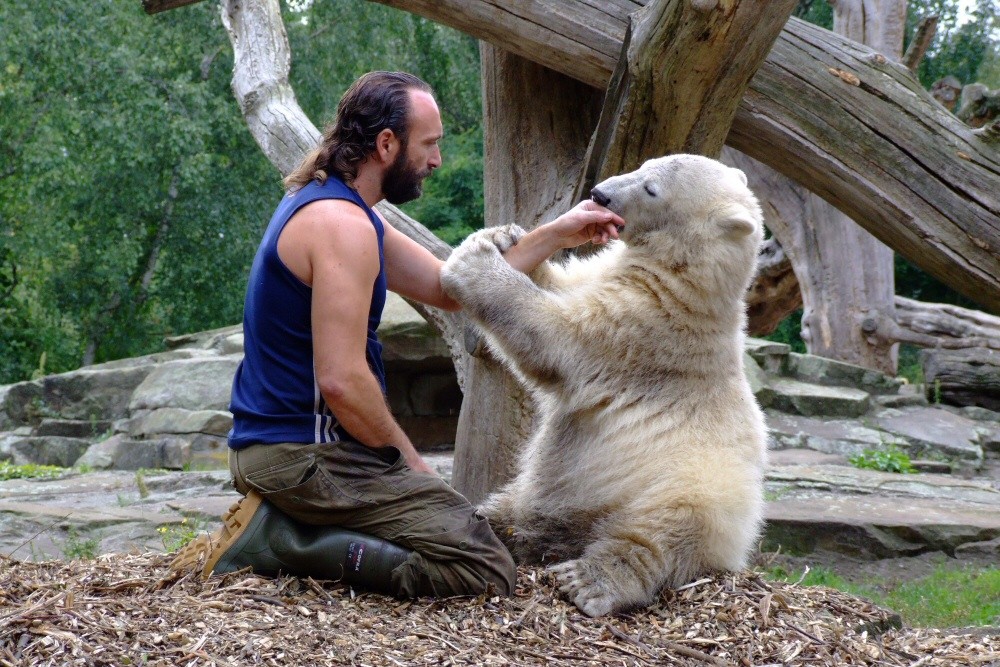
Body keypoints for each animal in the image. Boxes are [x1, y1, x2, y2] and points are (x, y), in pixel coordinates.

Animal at [442, 154, 768, 620]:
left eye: (651, 189)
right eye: (646, 163)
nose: (599, 194)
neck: (689, 280)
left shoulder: (645, 326)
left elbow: (555, 336)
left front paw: (475, 258)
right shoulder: (611, 279)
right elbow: (564, 285)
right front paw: (504, 236)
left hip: (698, 484)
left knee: (664, 529)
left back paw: (587, 579)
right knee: (514, 502)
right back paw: (499, 520)